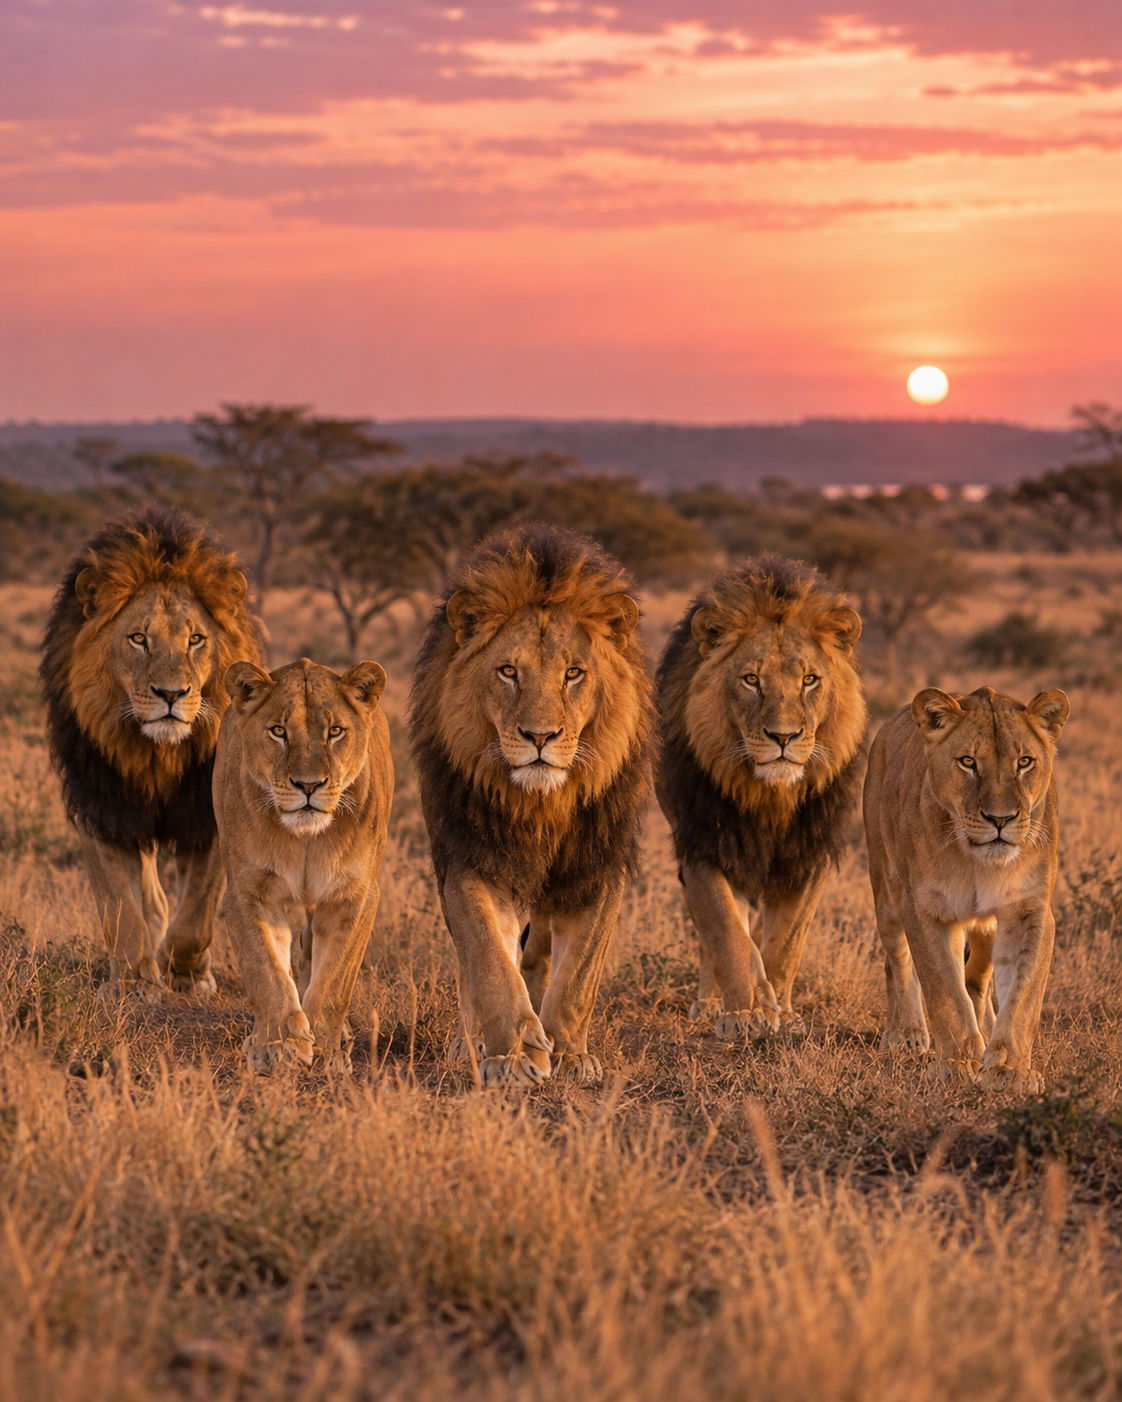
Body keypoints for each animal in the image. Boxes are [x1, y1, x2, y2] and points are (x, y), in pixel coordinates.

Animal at [41, 507, 265, 997]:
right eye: (139, 639)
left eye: (196, 640)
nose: (171, 694)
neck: (158, 754)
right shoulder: (103, 806)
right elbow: (120, 906)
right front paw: (131, 981)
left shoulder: (207, 813)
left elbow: (197, 913)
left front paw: (185, 977)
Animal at [214, 656, 393, 1071]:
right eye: (279, 731)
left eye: (335, 732)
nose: (308, 786)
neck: (307, 838)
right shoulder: (249, 893)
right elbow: (267, 971)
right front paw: (277, 1046)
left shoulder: (355, 895)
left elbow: (335, 979)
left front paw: (326, 1050)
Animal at [409, 524, 655, 1087]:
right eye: (507, 672)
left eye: (573, 674)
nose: (539, 737)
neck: (542, 805)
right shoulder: (470, 859)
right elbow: (489, 962)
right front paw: (515, 1055)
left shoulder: (598, 866)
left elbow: (578, 975)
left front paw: (569, 1053)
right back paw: (472, 1043)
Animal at [656, 556, 867, 1039]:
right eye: (751, 680)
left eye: (810, 680)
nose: (783, 737)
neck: (769, 794)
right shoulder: (703, 843)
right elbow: (727, 932)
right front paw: (747, 1013)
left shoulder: (809, 852)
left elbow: (786, 944)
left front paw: (782, 1015)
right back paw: (711, 1003)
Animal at [864, 685, 1069, 1093]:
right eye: (968, 762)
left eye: (1025, 762)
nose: (1000, 820)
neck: (978, 861)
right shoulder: (925, 909)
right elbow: (944, 989)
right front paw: (957, 1064)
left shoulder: (1029, 909)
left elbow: (1022, 995)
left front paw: (1009, 1069)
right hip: (886, 891)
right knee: (897, 962)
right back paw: (906, 1034)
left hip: (986, 926)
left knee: (978, 979)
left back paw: (986, 1029)